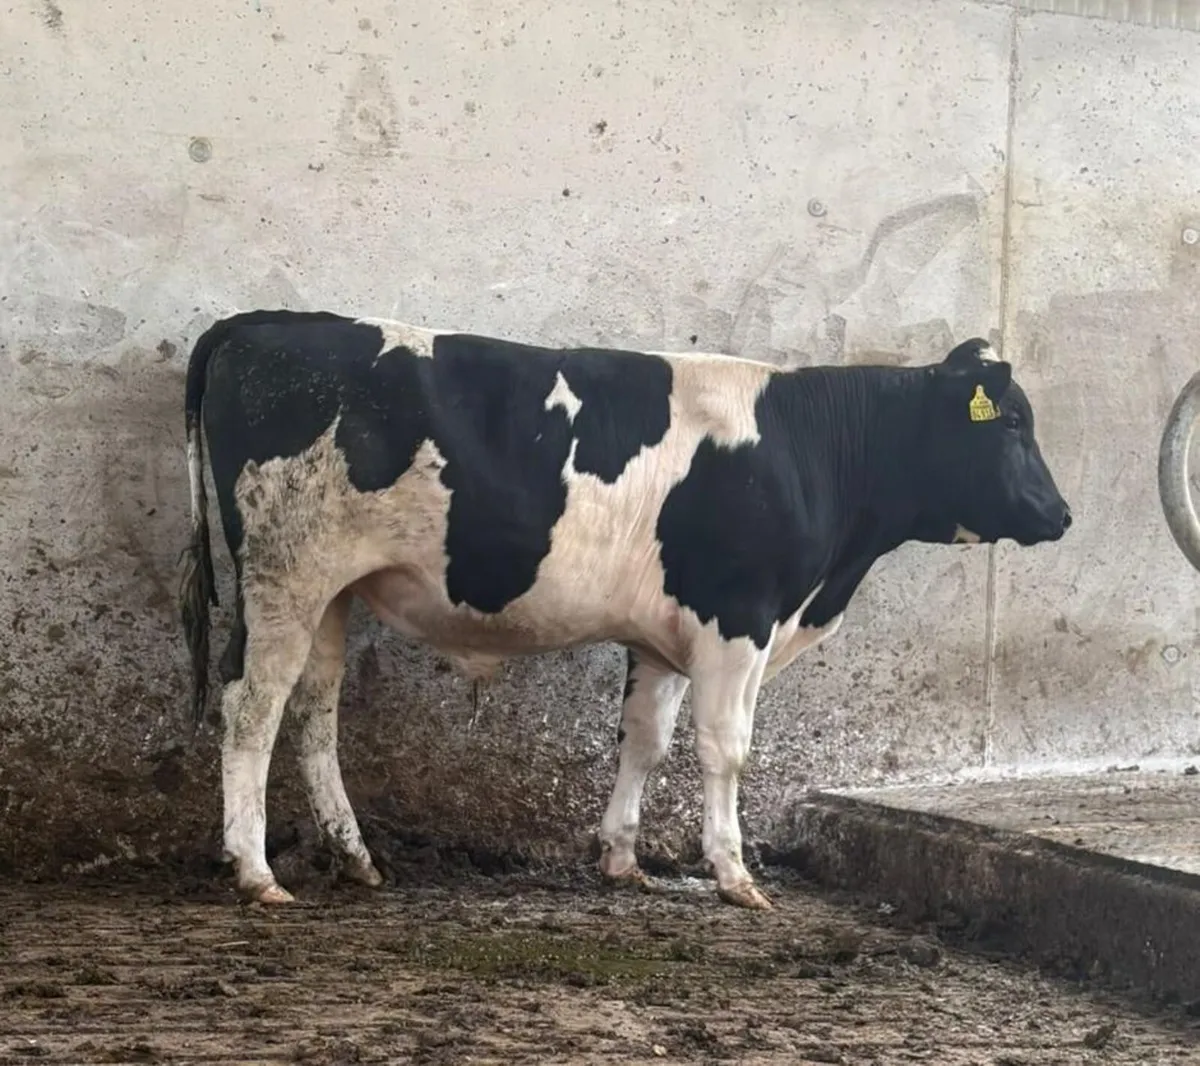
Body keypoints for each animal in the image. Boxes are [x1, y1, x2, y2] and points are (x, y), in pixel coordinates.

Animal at [179, 309, 1071, 910]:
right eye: (1011, 421)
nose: (1060, 514)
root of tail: (274, 321)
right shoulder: (737, 617)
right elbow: (725, 750)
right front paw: (735, 874)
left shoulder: (665, 635)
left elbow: (644, 740)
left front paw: (621, 858)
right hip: (284, 576)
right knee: (252, 706)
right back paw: (255, 871)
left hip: (327, 590)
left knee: (313, 710)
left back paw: (354, 855)